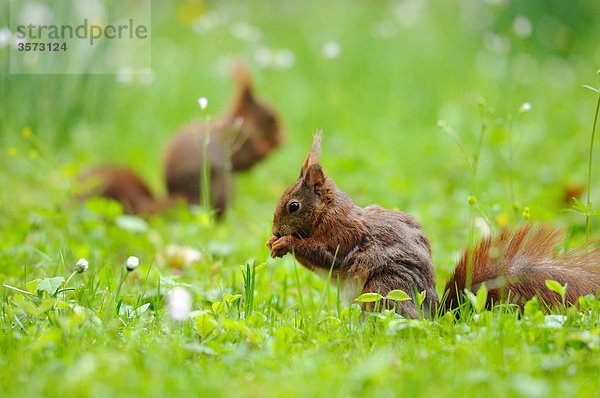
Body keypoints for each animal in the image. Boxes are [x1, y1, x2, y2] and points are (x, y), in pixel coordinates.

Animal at [81, 62, 284, 218]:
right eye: (269, 116)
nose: (284, 135)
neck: (241, 121)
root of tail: (185, 199)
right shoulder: (239, 139)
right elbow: (248, 158)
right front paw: (271, 145)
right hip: (221, 186)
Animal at [266, 132, 600, 318]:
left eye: (293, 206)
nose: (274, 232)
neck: (326, 212)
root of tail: (436, 317)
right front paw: (274, 244)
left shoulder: (344, 234)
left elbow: (326, 256)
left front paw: (287, 242)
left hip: (384, 289)